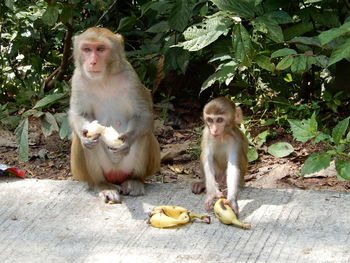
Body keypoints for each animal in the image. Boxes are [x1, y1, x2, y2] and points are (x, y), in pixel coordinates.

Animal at [69, 27, 159, 204]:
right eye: (87, 49)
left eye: (100, 49)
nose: (92, 62)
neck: (103, 79)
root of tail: (116, 174)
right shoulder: (77, 79)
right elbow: (77, 114)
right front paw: (85, 139)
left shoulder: (131, 76)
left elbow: (144, 115)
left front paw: (127, 142)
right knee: (87, 143)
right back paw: (102, 185)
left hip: (129, 167)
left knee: (144, 134)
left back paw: (135, 181)